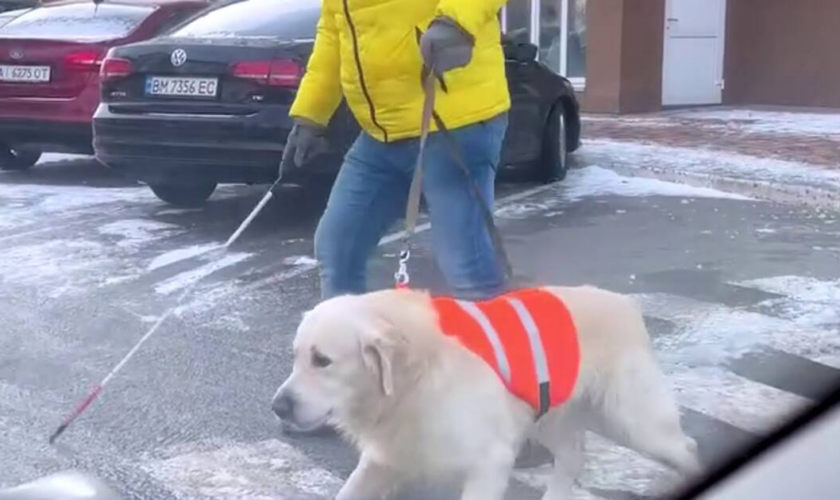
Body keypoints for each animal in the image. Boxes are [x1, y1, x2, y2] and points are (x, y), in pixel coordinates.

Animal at [270, 286, 704, 500]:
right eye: (295, 356)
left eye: (322, 360)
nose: (278, 407)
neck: (417, 378)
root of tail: (625, 302)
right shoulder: (387, 456)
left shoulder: (489, 460)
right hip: (550, 416)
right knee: (572, 455)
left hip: (634, 421)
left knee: (687, 446)